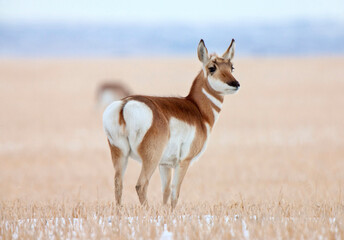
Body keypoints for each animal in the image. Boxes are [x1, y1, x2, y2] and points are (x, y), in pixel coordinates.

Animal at [103, 39, 241, 208]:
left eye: (231, 67)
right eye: (212, 68)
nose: (235, 83)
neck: (198, 109)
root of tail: (125, 104)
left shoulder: (165, 165)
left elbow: (166, 192)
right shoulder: (183, 162)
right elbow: (175, 193)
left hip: (120, 154)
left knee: (118, 184)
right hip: (151, 159)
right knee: (141, 185)